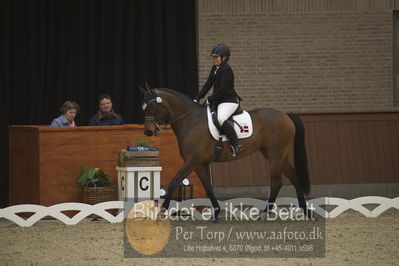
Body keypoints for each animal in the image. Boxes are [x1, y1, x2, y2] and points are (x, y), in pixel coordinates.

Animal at [141, 86, 312, 221]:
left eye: (152, 107)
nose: (148, 132)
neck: (191, 121)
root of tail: (285, 115)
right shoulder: (200, 163)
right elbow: (208, 186)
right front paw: (216, 213)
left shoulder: (192, 161)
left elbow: (174, 182)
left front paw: (161, 212)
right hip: (276, 155)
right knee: (294, 176)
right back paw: (305, 211)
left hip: (276, 154)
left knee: (276, 183)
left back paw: (265, 213)